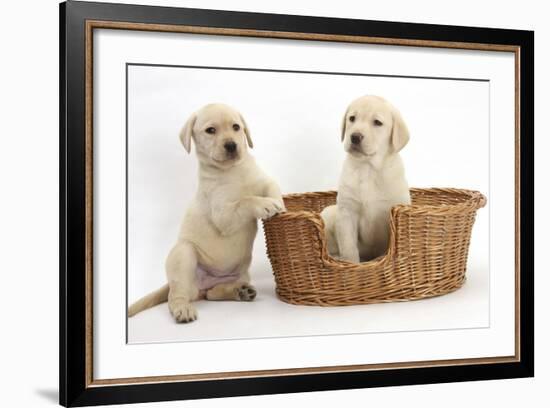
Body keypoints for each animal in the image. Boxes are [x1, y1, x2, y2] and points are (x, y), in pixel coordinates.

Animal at [129, 103, 284, 322]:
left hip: (240, 274)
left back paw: (239, 292)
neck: (233, 170)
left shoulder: (264, 181)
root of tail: (204, 283)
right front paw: (265, 205)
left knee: (212, 294)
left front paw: (280, 206)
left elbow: (272, 188)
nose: (231, 145)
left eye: (236, 127)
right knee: (176, 295)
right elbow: (245, 201)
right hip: (184, 254)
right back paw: (183, 309)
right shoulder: (223, 214)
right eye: (211, 130)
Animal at [322, 95, 412, 262]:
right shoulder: (347, 212)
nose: (355, 137)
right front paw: (351, 263)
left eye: (377, 122)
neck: (368, 168)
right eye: (352, 118)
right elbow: (349, 247)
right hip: (329, 214)